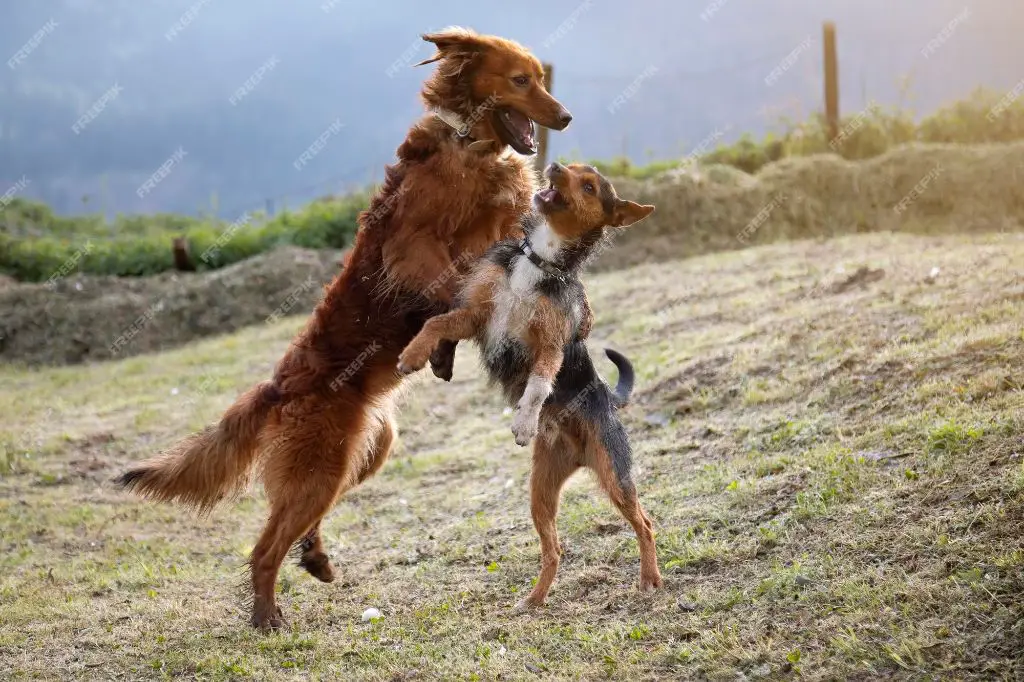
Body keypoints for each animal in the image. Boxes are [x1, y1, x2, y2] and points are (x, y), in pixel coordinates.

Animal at [117, 29, 577, 630]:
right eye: (521, 81)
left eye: (541, 79)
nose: (565, 117)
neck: (469, 144)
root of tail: (278, 386)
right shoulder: (413, 247)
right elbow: (453, 288)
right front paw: (440, 342)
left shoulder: (503, 227)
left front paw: (444, 350)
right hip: (322, 464)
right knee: (264, 549)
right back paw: (267, 617)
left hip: (360, 453)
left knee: (298, 524)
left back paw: (314, 558)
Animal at [395, 163, 659, 606]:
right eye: (573, 169)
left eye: (590, 186)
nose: (553, 166)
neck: (538, 260)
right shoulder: (478, 315)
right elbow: (436, 323)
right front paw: (413, 354)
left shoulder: (548, 347)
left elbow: (537, 386)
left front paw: (523, 422)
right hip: (540, 493)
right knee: (554, 548)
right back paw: (535, 599)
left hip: (615, 475)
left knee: (646, 523)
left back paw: (650, 578)